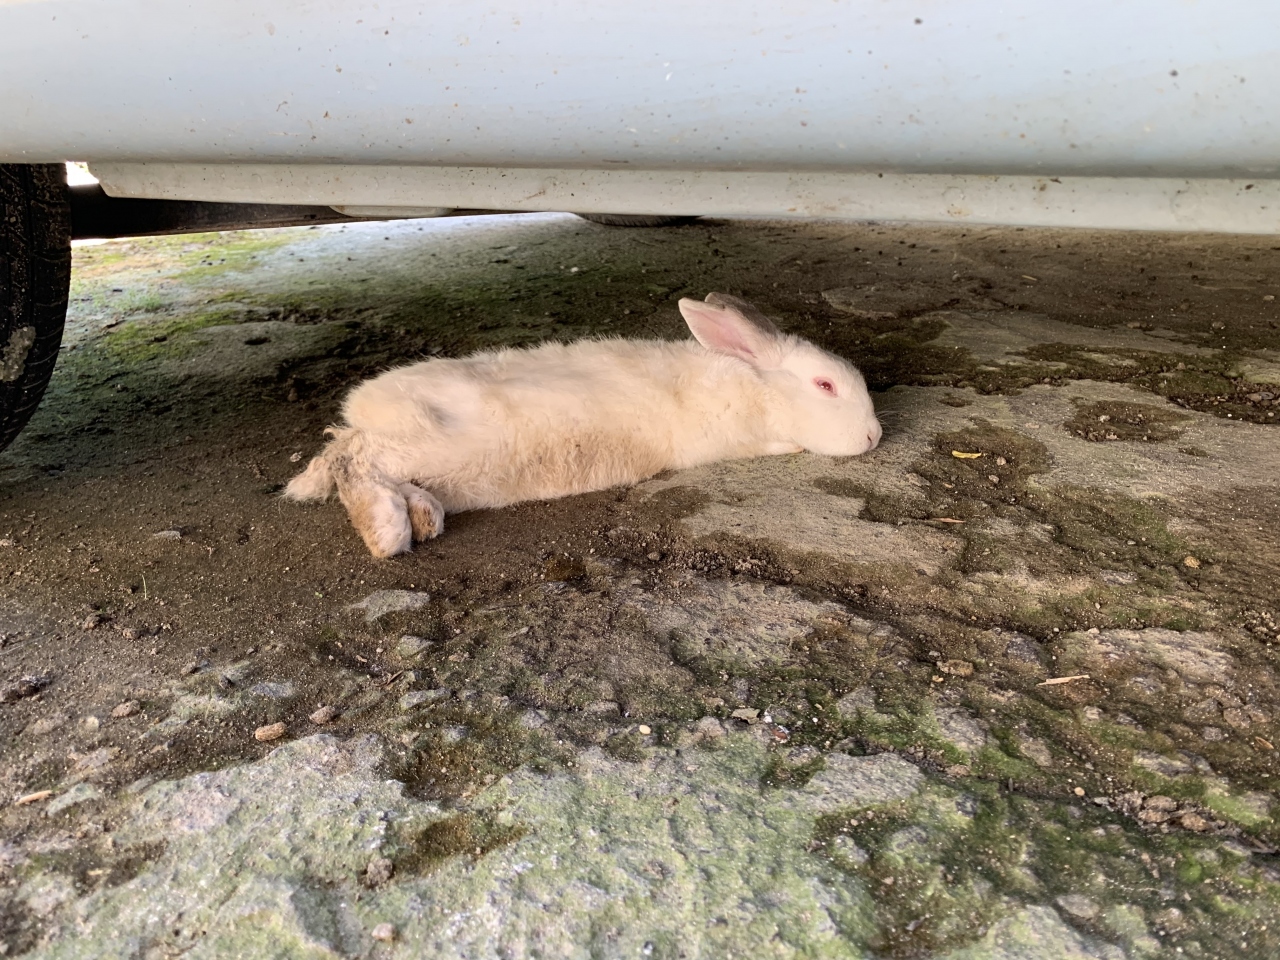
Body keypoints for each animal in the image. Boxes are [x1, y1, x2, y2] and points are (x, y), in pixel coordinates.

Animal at [285, 292, 881, 557]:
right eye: (826, 386)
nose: (875, 435)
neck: (754, 386)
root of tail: (361, 411)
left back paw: (425, 516)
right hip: (419, 443)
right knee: (355, 464)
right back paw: (390, 532)